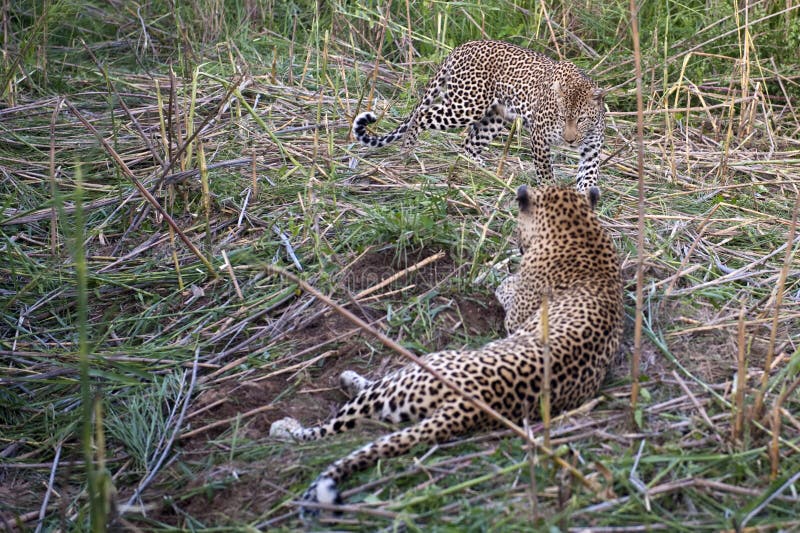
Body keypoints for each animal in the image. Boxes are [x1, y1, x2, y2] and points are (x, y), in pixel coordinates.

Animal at [270, 185, 624, 516]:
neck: (580, 229)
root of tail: (471, 405)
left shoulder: (515, 311)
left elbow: (504, 284)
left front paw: (498, 271)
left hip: (422, 367)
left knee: (334, 426)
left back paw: (292, 422)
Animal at [352, 39, 608, 204]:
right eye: (562, 118)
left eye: (581, 119)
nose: (569, 140)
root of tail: (462, 47)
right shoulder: (540, 137)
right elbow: (545, 171)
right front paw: (551, 192)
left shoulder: (592, 147)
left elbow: (588, 175)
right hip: (466, 105)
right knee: (421, 116)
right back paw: (407, 153)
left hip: (492, 118)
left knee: (468, 147)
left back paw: (482, 172)